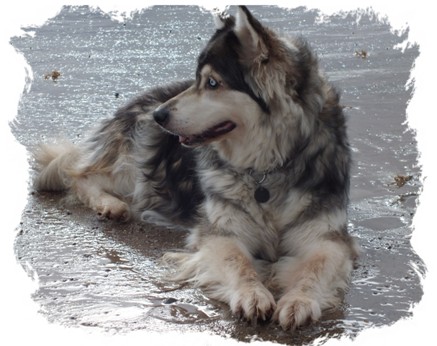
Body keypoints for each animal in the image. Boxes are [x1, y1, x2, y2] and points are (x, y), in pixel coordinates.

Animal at [34, 6, 360, 330]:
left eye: (212, 83)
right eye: (197, 79)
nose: (159, 115)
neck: (267, 167)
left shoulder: (326, 238)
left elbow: (315, 267)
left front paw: (299, 300)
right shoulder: (221, 232)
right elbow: (237, 261)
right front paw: (252, 293)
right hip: (136, 164)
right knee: (78, 174)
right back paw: (110, 204)